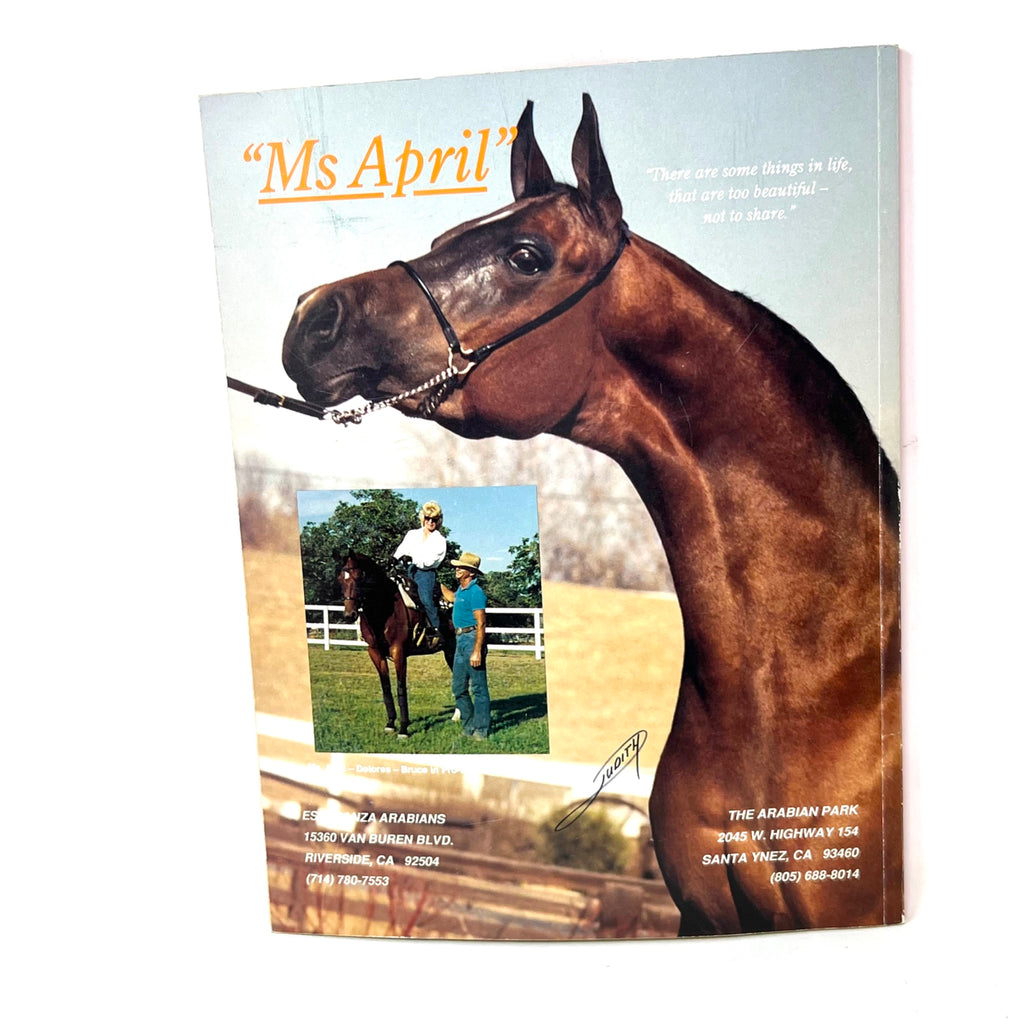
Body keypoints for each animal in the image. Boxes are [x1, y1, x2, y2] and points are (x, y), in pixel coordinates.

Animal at [337, 551, 454, 739]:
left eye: (359, 577)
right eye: (341, 579)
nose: (349, 615)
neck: (383, 610)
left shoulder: (398, 652)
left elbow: (400, 687)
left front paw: (404, 729)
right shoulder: (375, 652)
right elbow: (386, 687)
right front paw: (391, 723)